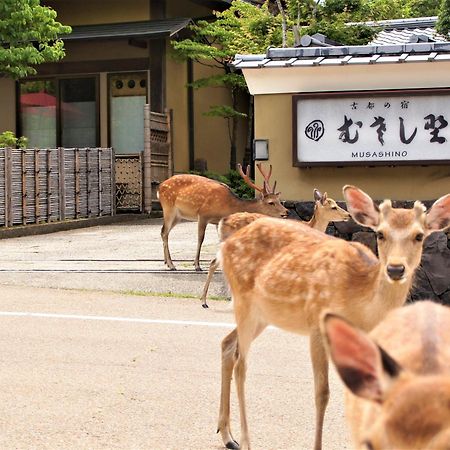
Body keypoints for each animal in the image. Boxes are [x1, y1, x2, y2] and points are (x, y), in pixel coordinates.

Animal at [158, 164, 286, 272]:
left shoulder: (217, 221)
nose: (286, 211)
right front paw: (197, 265)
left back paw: (166, 262)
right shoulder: (203, 214)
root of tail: (159, 187)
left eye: (279, 200)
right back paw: (171, 265)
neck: (227, 205)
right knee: (164, 232)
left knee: (164, 232)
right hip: (168, 208)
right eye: (271, 202)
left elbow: (221, 241)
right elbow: (200, 239)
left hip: (178, 216)